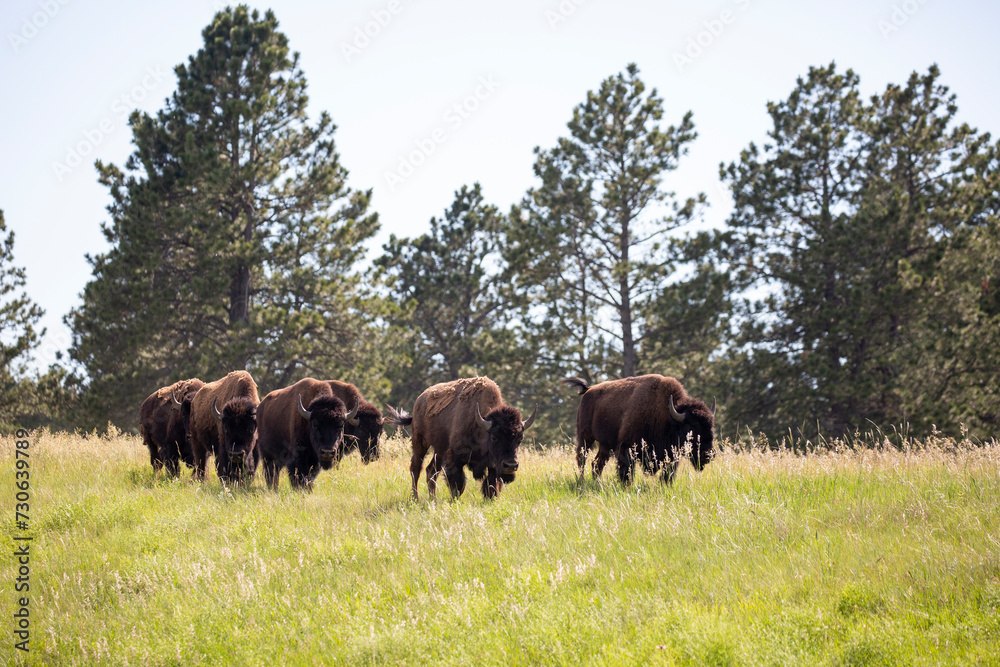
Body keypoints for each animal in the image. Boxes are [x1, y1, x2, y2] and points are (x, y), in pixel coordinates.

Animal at [388, 376, 536, 500]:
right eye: (494, 437)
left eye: (520, 439)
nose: (511, 465)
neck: (481, 425)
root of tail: (419, 400)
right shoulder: (456, 458)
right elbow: (458, 484)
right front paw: (455, 500)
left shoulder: (493, 464)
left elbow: (491, 485)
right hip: (420, 442)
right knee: (416, 469)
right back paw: (415, 499)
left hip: (439, 450)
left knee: (431, 471)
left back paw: (432, 499)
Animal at [564, 376, 720, 486]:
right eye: (691, 426)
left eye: (711, 425)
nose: (708, 454)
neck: (668, 417)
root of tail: (588, 390)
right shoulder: (625, 449)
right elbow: (626, 473)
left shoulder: (670, 456)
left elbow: (667, 475)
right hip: (585, 437)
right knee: (581, 459)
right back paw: (582, 482)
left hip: (604, 445)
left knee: (597, 464)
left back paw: (597, 483)